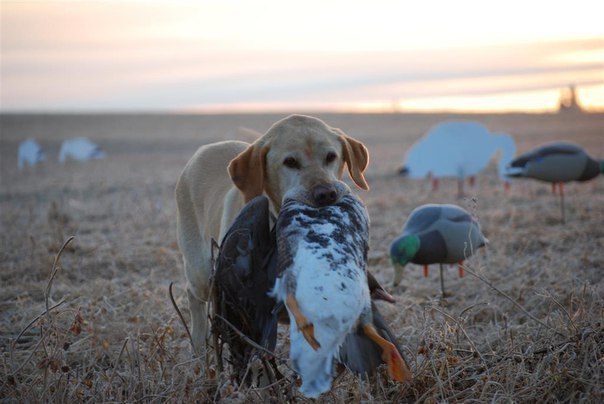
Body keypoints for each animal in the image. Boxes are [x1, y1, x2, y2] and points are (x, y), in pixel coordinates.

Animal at [176, 115, 368, 358]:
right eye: (290, 162)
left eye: (331, 157)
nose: (326, 194)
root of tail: (205, 149)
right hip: (200, 270)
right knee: (193, 295)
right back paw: (199, 348)